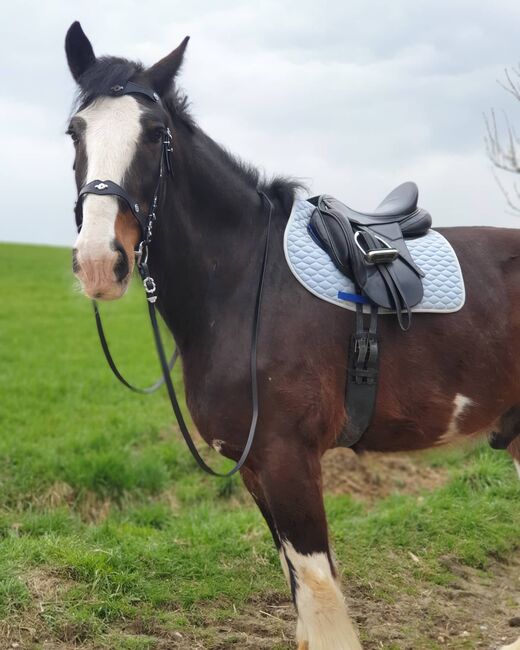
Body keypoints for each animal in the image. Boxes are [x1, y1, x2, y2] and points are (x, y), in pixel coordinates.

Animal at [64, 20, 520, 648]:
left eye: (156, 134)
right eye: (75, 132)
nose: (97, 264)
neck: (241, 283)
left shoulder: (289, 461)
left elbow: (320, 598)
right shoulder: (257, 467)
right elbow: (299, 592)